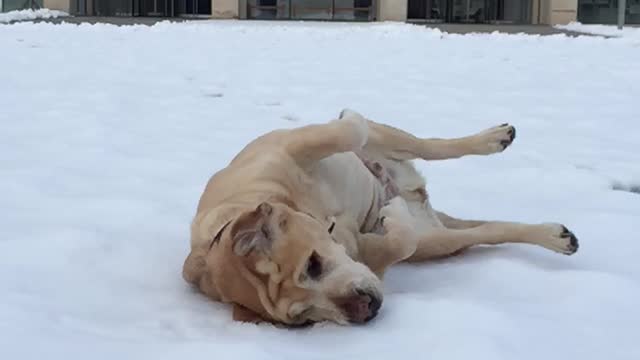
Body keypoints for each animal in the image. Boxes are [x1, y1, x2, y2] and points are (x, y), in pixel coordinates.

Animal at [181, 109, 580, 326]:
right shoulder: (369, 252)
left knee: (429, 145)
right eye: (304, 318)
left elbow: (350, 128)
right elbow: (399, 243)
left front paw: (349, 116)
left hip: (392, 140)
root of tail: (416, 192)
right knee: (486, 230)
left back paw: (491, 138)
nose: (364, 310)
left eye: (312, 265)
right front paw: (391, 217)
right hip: (440, 239)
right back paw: (554, 237)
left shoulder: (288, 147)